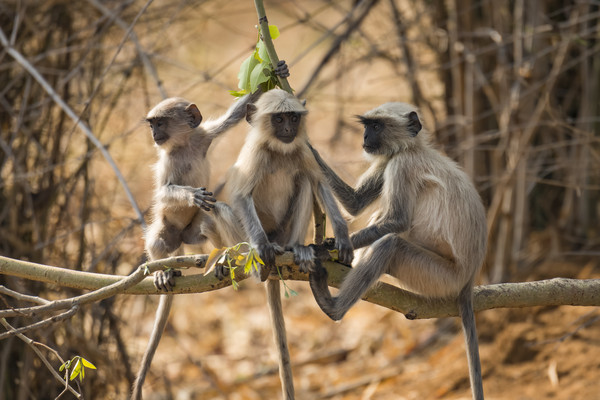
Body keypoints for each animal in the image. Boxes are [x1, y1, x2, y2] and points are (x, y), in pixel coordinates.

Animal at [132, 92, 256, 398]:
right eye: (152, 124)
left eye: (160, 123)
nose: (154, 134)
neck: (182, 145)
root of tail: (180, 241)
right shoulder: (165, 160)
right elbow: (163, 192)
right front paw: (189, 195)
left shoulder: (202, 136)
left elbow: (235, 116)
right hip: (169, 230)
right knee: (158, 239)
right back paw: (164, 272)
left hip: (192, 233)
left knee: (209, 222)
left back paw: (222, 261)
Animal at [224, 88, 356, 400]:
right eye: (279, 118)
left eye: (294, 117)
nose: (288, 129)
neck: (278, 150)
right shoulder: (256, 154)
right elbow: (241, 196)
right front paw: (261, 249)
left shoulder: (302, 150)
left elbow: (319, 183)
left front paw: (342, 235)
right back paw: (264, 257)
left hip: (285, 232)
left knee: (306, 182)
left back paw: (298, 249)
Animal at [310, 102, 488, 400]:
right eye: (367, 126)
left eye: (377, 126)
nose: (365, 137)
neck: (412, 148)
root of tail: (469, 277)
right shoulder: (387, 160)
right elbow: (356, 203)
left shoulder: (400, 165)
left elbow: (398, 222)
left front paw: (325, 251)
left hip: (439, 277)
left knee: (390, 243)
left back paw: (333, 307)